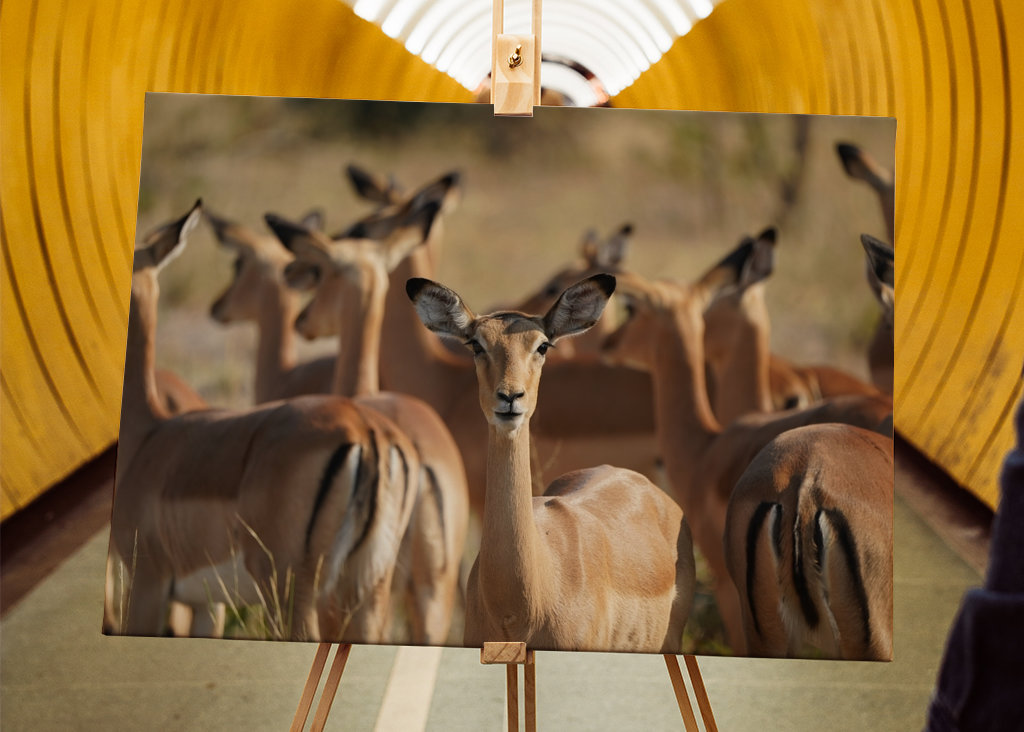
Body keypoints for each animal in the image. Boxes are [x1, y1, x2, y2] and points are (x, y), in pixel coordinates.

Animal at [110, 201, 418, 643]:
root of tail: (365, 430)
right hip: (367, 590)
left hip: (291, 594)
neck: (148, 436)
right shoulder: (207, 604)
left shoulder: (148, 585)